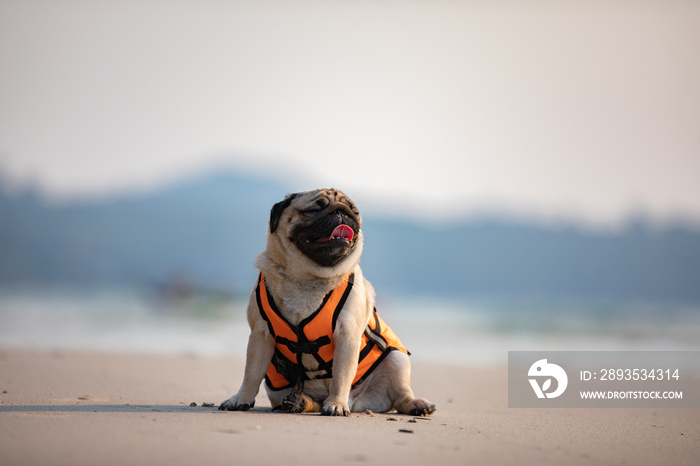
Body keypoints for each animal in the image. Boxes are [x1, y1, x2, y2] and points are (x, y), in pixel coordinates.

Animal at [219, 187, 434, 416]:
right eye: (314, 209)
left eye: (354, 212)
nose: (341, 212)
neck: (308, 279)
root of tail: (356, 402)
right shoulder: (260, 334)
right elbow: (251, 374)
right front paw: (240, 399)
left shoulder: (347, 335)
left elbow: (341, 375)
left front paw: (337, 404)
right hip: (276, 388)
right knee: (310, 401)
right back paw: (300, 402)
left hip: (397, 359)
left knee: (400, 396)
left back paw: (416, 405)